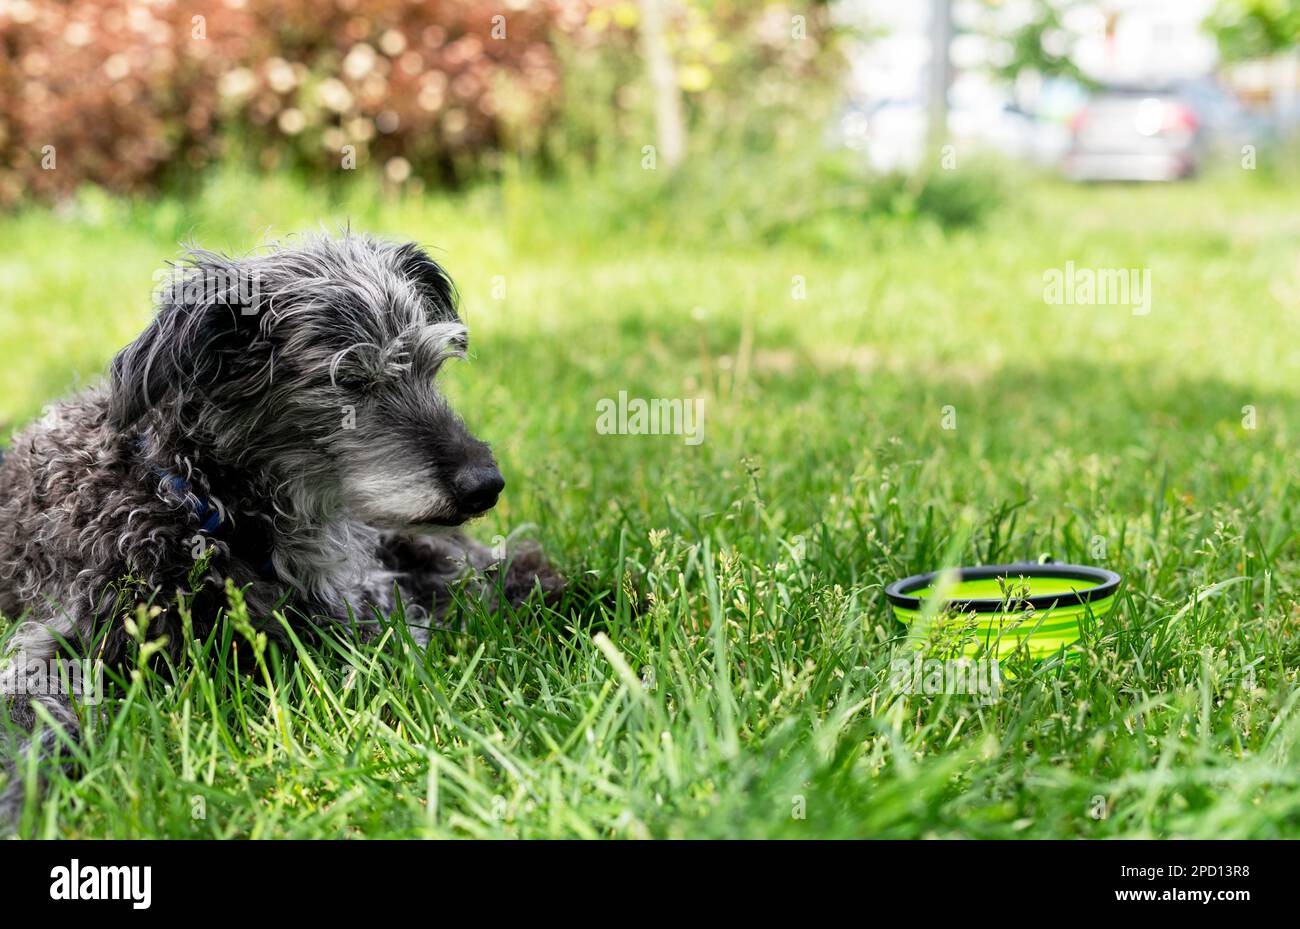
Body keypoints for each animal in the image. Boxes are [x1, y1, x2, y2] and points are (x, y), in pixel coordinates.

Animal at [2, 233, 566, 826]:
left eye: (429, 369)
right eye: (349, 381)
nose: (486, 485)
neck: (205, 510)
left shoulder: (358, 612)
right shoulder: (58, 636)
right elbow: (39, 715)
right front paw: (27, 798)